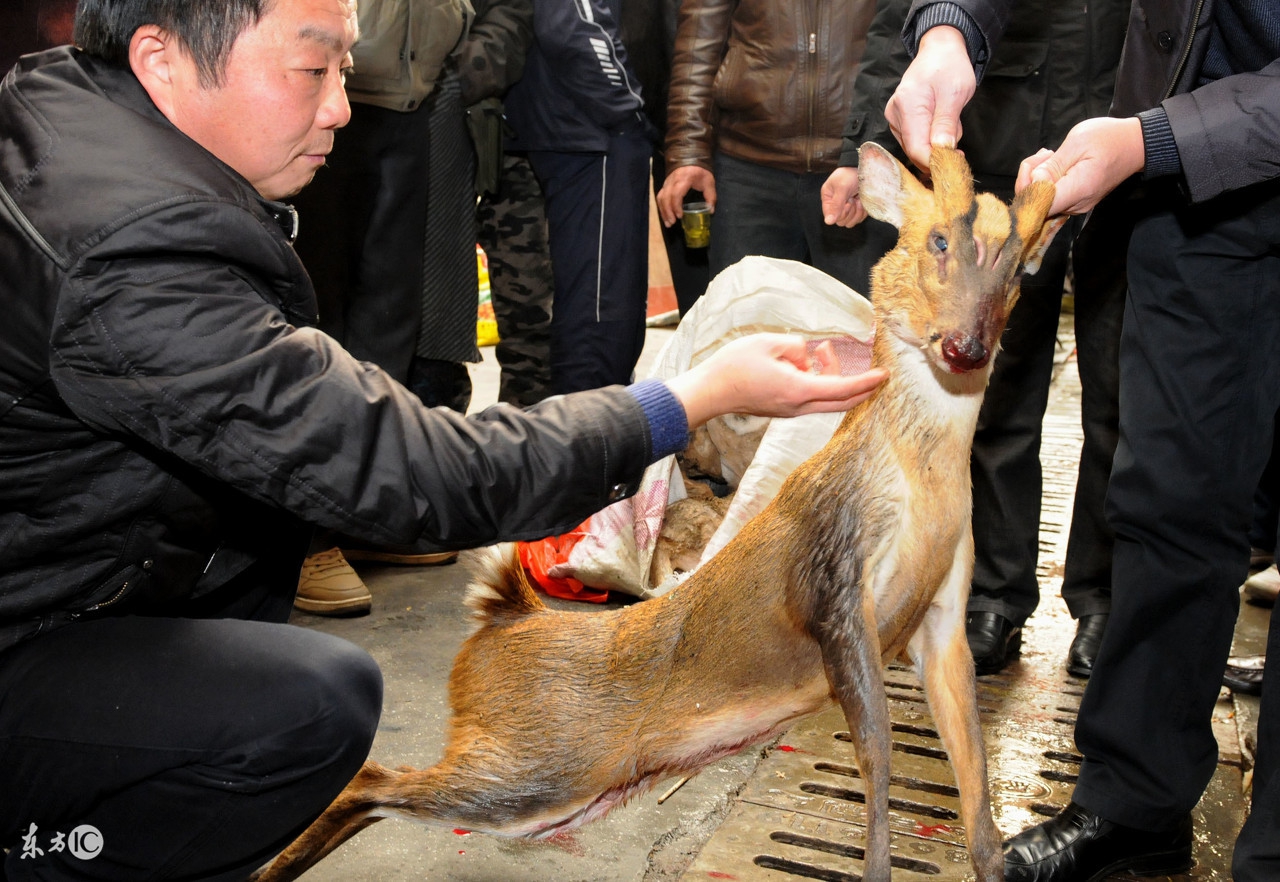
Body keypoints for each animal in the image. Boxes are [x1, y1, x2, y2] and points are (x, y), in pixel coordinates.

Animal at [249, 144, 1059, 880]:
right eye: (938, 240)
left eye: (1022, 268)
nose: (966, 347)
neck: (920, 486)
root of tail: (504, 616)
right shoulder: (831, 585)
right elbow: (880, 775)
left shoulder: (941, 615)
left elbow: (977, 800)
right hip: (527, 768)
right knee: (371, 778)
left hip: (546, 788)